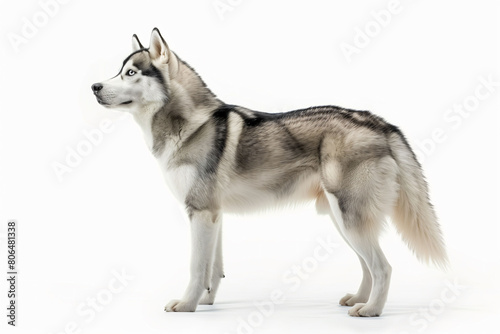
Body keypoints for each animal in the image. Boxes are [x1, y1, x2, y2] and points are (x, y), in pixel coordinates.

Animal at [92, 28, 448, 316]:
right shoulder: (214, 215)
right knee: (368, 266)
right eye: (119, 71)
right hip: (343, 219)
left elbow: (196, 267)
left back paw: (371, 310)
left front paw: (186, 305)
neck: (189, 125)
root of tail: (380, 122)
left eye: (130, 72)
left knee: (383, 267)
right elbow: (213, 268)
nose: (94, 86)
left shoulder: (200, 212)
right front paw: (206, 302)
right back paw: (359, 299)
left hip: (350, 217)